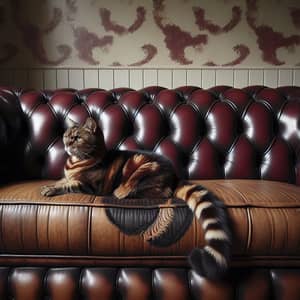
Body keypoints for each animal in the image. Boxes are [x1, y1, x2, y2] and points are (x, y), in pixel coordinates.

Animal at [40, 118, 232, 278]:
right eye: (66, 136)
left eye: (77, 137)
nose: (66, 143)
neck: (76, 162)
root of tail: (174, 176)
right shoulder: (69, 177)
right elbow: (62, 180)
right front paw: (51, 185)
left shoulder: (90, 186)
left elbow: (69, 185)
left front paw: (51, 189)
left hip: (143, 170)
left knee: (162, 192)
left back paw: (122, 193)